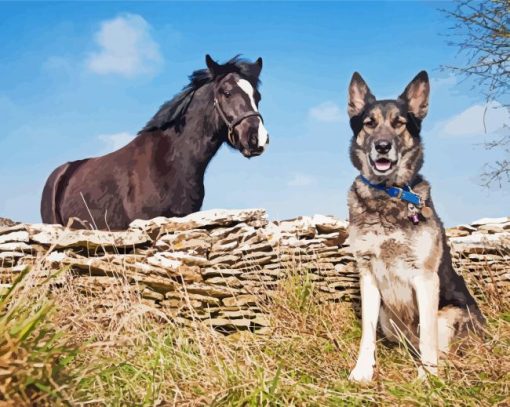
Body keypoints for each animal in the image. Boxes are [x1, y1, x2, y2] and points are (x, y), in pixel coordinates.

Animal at [344, 71, 484, 382]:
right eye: (369, 123)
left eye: (400, 123)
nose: (382, 146)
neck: (387, 195)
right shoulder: (368, 275)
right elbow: (366, 333)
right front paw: (363, 370)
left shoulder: (425, 278)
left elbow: (428, 337)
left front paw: (427, 377)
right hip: (389, 319)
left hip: (450, 314)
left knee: (438, 346)